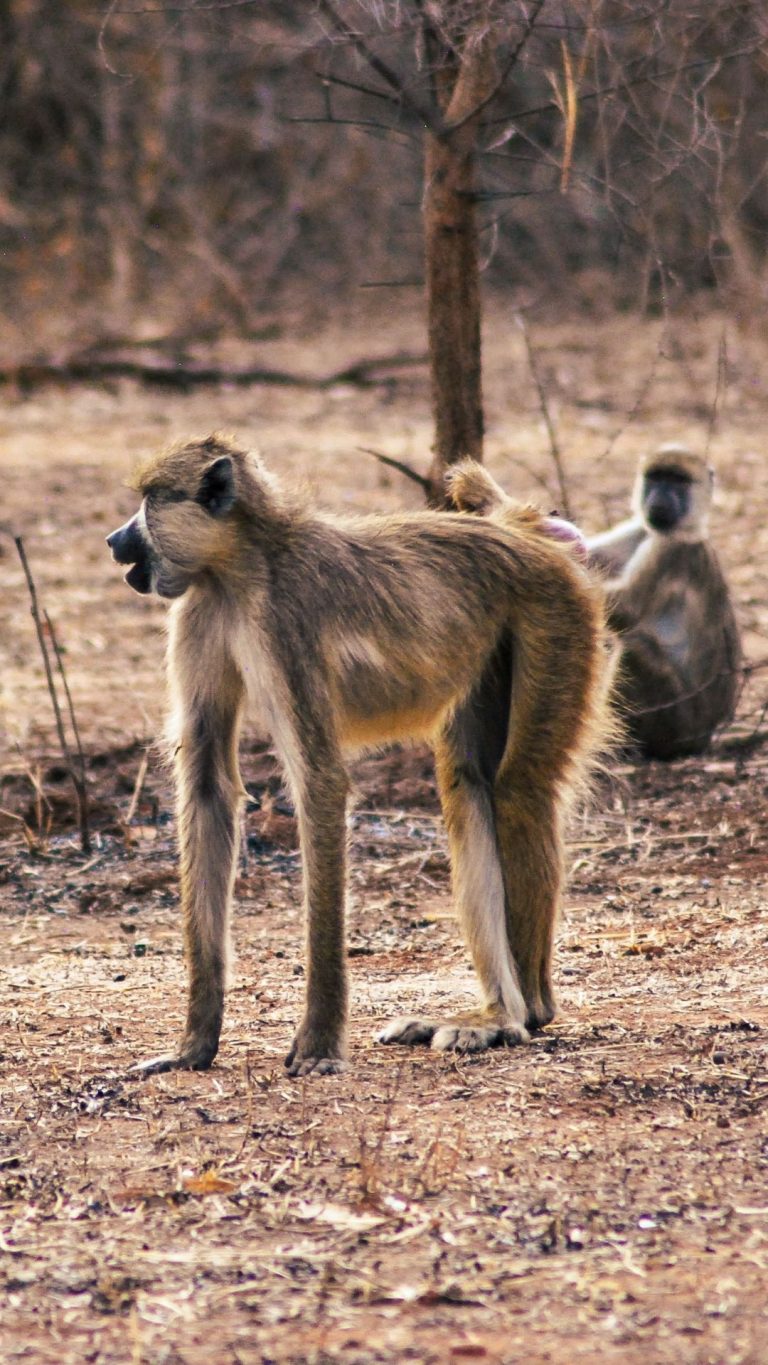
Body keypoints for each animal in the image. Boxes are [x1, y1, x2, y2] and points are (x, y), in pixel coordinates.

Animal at [107, 434, 609, 1077]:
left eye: (149, 502)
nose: (114, 540)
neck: (243, 564)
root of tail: (520, 530)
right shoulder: (198, 611)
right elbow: (207, 783)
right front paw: (194, 1045)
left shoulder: (284, 623)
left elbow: (319, 781)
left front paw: (319, 1042)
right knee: (468, 784)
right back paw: (497, 1012)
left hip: (555, 613)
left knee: (518, 789)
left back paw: (519, 1016)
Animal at [448, 445, 741, 761]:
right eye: (656, 478)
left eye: (678, 482)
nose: (660, 499)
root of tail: (705, 737)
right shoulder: (637, 531)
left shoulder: (670, 549)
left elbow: (623, 610)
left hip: (678, 721)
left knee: (631, 642)